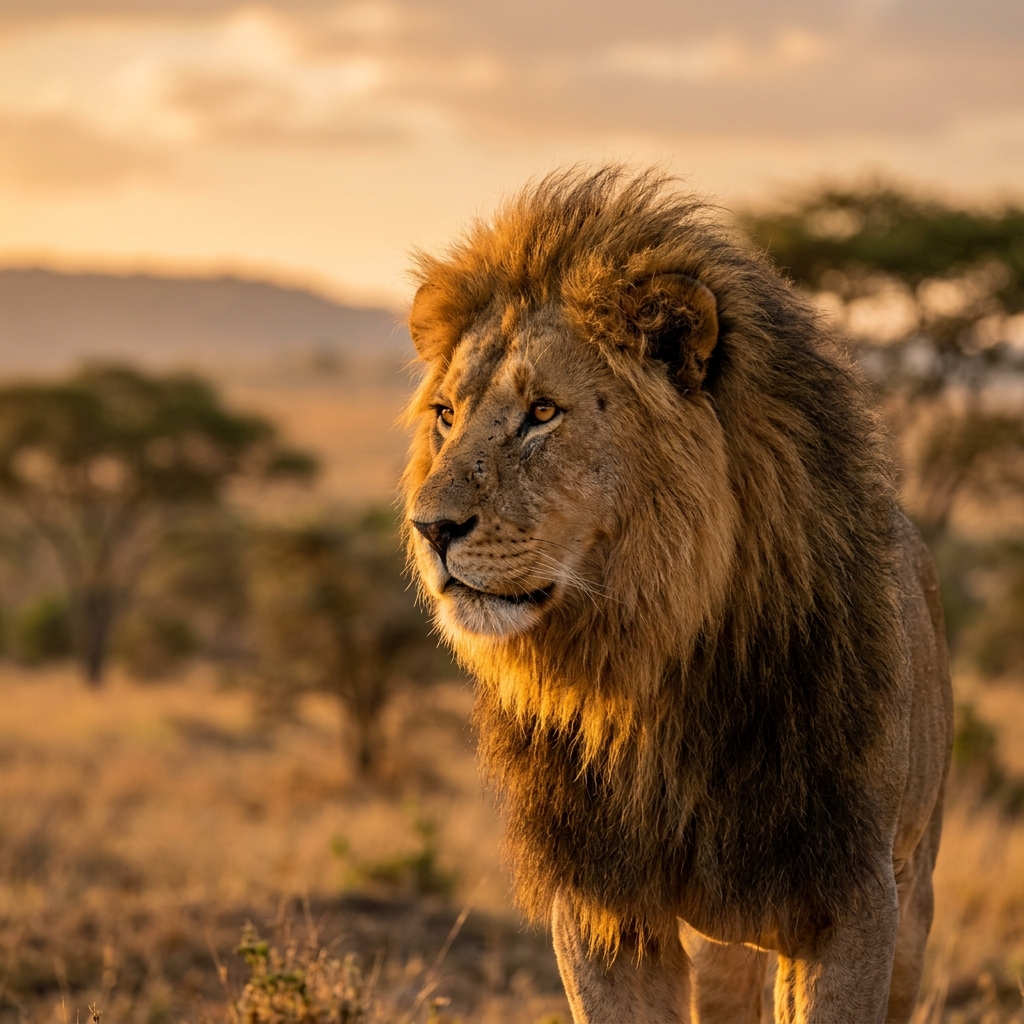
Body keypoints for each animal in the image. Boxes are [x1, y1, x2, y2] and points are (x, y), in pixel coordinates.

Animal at [402, 167, 953, 1024]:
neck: (655, 671)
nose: (430, 528)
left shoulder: (854, 898)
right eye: (446, 415)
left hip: (914, 887)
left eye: (542, 412)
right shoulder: (602, 903)